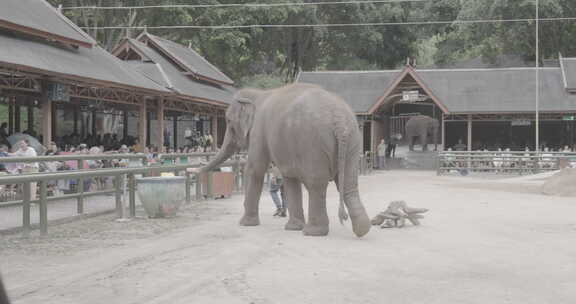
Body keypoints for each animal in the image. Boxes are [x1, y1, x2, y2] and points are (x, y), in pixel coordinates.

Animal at [200, 83, 372, 238]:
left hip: (314, 145)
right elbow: (290, 177)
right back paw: (362, 229)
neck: (258, 94)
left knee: (316, 184)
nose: (198, 169)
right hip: (353, 141)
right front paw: (293, 228)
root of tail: (339, 120)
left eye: (228, 121)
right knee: (349, 183)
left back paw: (312, 232)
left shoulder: (259, 131)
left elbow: (255, 169)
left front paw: (245, 224)